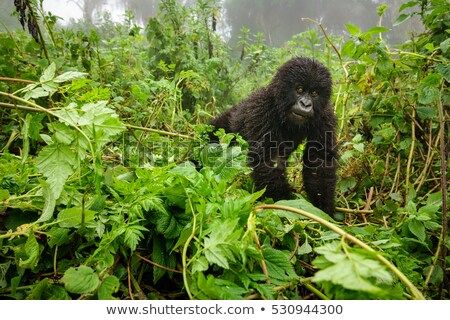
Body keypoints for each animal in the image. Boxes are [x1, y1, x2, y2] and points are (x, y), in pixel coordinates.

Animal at [211, 57, 338, 215]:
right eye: (299, 90)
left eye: (314, 93)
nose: (305, 104)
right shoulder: (261, 108)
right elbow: (269, 161)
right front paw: (286, 204)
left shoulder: (324, 116)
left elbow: (319, 160)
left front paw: (323, 209)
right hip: (224, 126)